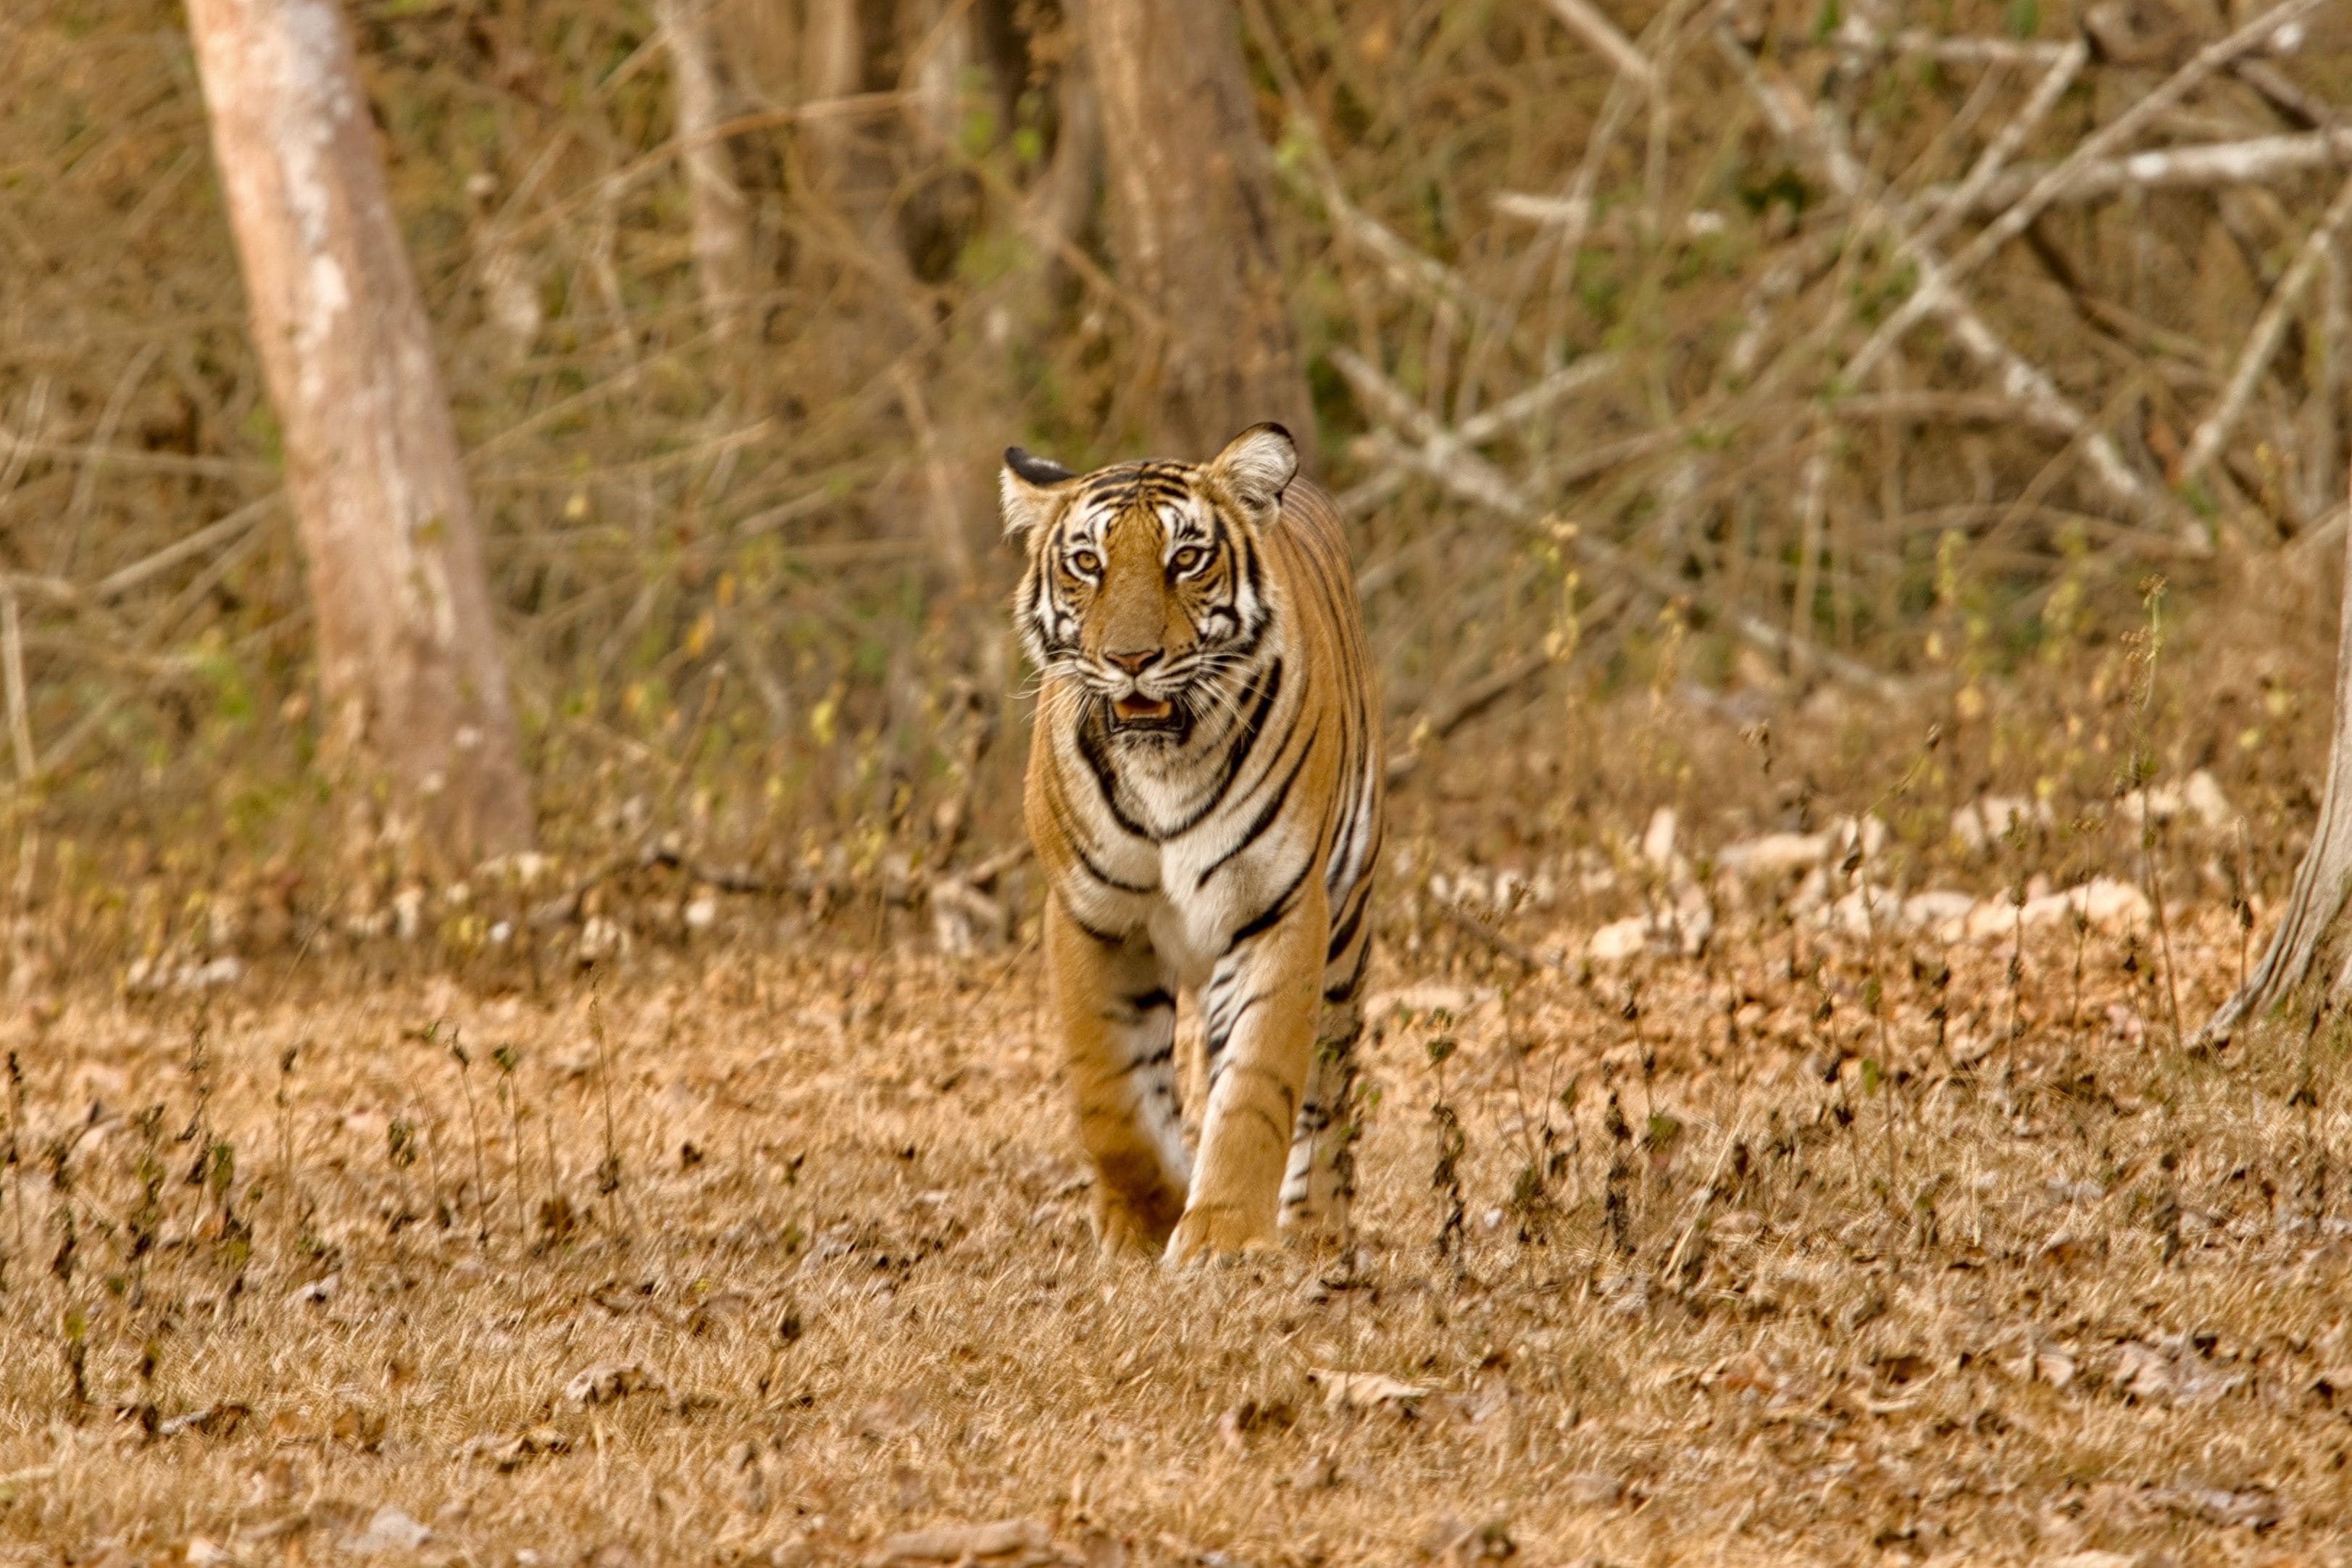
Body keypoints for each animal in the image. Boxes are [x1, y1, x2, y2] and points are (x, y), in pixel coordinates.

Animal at [999, 422, 1384, 1264]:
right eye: (1088, 562)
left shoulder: (1278, 909)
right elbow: (1110, 1096)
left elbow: (1258, 1084)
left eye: (1186, 558)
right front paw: (1148, 1215)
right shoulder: (1089, 917)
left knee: (1326, 1097)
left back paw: (1316, 1228)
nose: (1131, 660)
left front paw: (1222, 1232)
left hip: (1346, 928)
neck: (1163, 769)